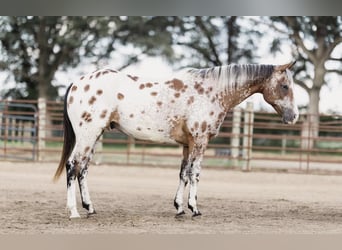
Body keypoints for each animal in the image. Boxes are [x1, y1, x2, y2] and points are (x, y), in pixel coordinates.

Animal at [52, 61, 296, 218]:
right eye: (285, 86)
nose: (293, 117)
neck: (211, 91)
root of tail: (77, 83)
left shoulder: (187, 144)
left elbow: (183, 174)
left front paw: (179, 208)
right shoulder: (200, 141)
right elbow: (195, 174)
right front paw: (194, 209)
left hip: (94, 136)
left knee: (83, 169)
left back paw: (90, 208)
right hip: (88, 135)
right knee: (73, 166)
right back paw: (73, 211)